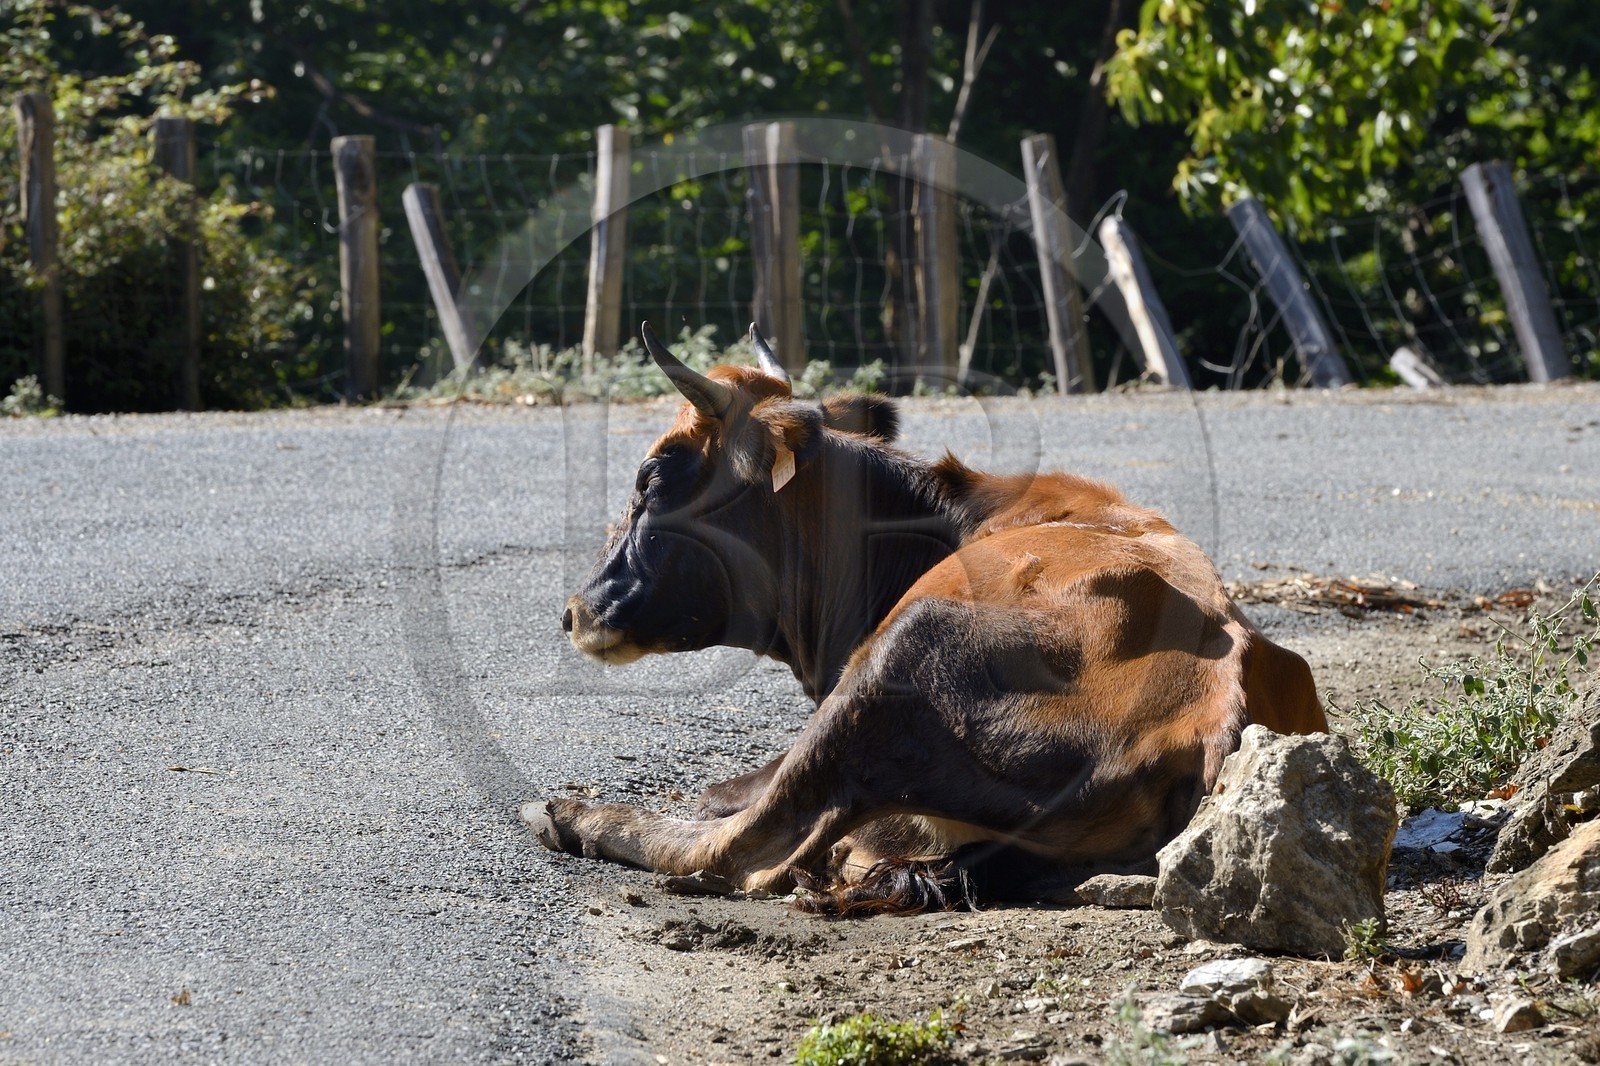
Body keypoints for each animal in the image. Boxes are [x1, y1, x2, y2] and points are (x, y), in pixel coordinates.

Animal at [525, 323, 1326, 912]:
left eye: (650, 477)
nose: (574, 610)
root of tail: (1225, 703)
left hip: (899, 663)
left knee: (742, 852)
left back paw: (572, 816)